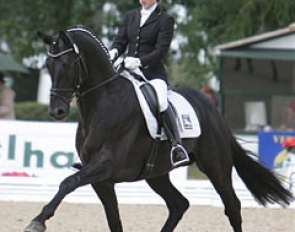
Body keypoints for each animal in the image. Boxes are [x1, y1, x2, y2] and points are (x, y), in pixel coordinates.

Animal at [25, 26, 294, 232]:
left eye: (68, 63)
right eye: (48, 64)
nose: (57, 111)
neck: (101, 102)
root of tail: (211, 108)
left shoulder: (105, 165)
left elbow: (68, 182)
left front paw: (38, 221)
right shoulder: (101, 179)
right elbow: (113, 219)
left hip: (216, 166)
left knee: (232, 206)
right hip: (156, 174)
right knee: (179, 204)